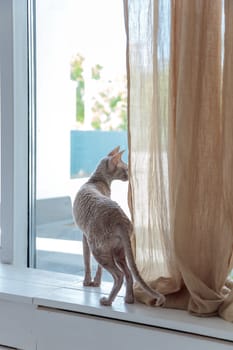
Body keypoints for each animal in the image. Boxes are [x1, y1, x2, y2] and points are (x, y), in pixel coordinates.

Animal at [73, 146, 166, 306]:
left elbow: (86, 261)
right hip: (118, 251)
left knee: (120, 275)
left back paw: (108, 301)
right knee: (128, 274)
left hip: (98, 248)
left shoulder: (84, 236)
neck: (95, 181)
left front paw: (87, 281)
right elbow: (97, 268)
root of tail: (120, 219)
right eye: (126, 169)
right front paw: (96, 282)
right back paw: (128, 299)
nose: (130, 175)